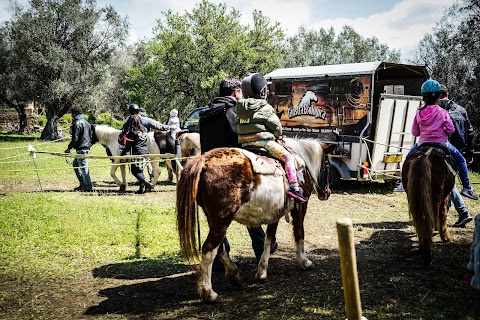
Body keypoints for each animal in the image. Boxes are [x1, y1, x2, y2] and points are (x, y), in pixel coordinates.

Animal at [174, 138, 336, 302]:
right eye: (328, 164)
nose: (327, 193)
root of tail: (203, 159)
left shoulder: (275, 214)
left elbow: (268, 240)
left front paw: (262, 272)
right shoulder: (300, 207)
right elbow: (299, 233)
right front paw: (304, 262)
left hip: (213, 219)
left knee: (220, 248)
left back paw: (233, 274)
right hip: (222, 219)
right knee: (209, 249)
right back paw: (208, 292)